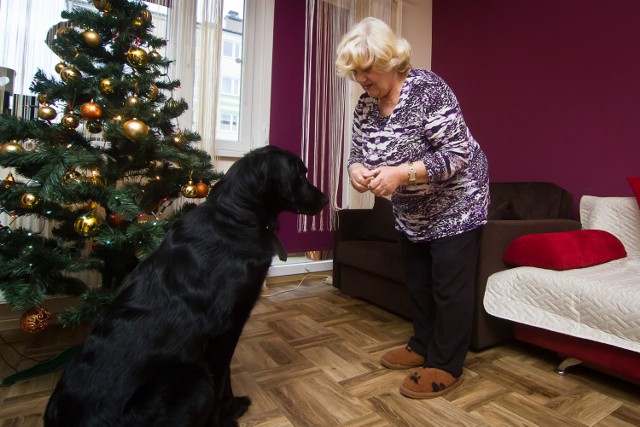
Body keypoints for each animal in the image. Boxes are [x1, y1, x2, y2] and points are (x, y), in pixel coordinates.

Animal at [43, 147, 330, 427]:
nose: (326, 200)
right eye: (301, 175)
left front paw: (231, 409)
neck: (236, 215)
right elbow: (221, 378)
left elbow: (226, 376)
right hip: (194, 381)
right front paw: (226, 416)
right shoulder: (227, 328)